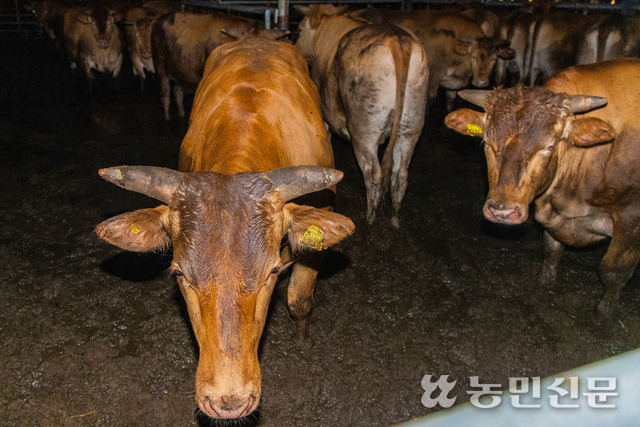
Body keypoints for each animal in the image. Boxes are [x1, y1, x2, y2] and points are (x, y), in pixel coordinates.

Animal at [296, 5, 430, 229]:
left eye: (298, 29)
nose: (296, 46)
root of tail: (398, 41)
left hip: (364, 130)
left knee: (373, 172)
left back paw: (370, 216)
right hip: (411, 126)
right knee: (401, 174)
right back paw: (394, 217)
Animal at [352, 8, 512, 112]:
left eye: (494, 59)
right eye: (473, 56)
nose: (482, 83)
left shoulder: (452, 84)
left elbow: (451, 102)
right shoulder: (434, 77)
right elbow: (430, 102)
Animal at [448, 57, 640, 318]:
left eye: (548, 147)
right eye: (487, 142)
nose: (502, 212)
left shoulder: (631, 219)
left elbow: (613, 269)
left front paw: (605, 310)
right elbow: (551, 251)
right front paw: (544, 282)